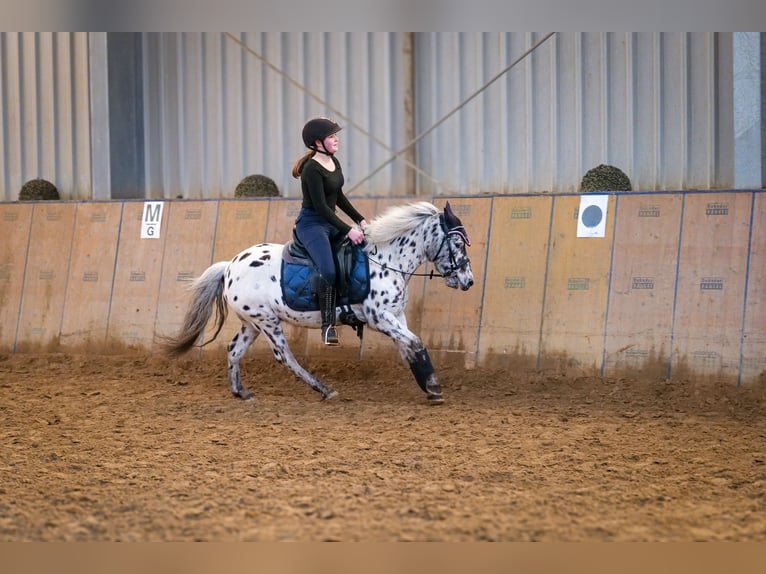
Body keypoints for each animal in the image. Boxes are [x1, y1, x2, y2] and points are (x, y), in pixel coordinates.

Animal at [160, 202, 474, 404]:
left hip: (252, 323)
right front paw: (434, 386)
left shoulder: (396, 315)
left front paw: (428, 386)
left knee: (235, 350)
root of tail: (229, 267)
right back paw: (324, 390)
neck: (386, 259)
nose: (468, 281)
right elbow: (415, 342)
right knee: (284, 357)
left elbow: (408, 348)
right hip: (267, 321)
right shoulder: (380, 317)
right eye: (457, 244)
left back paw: (241, 393)